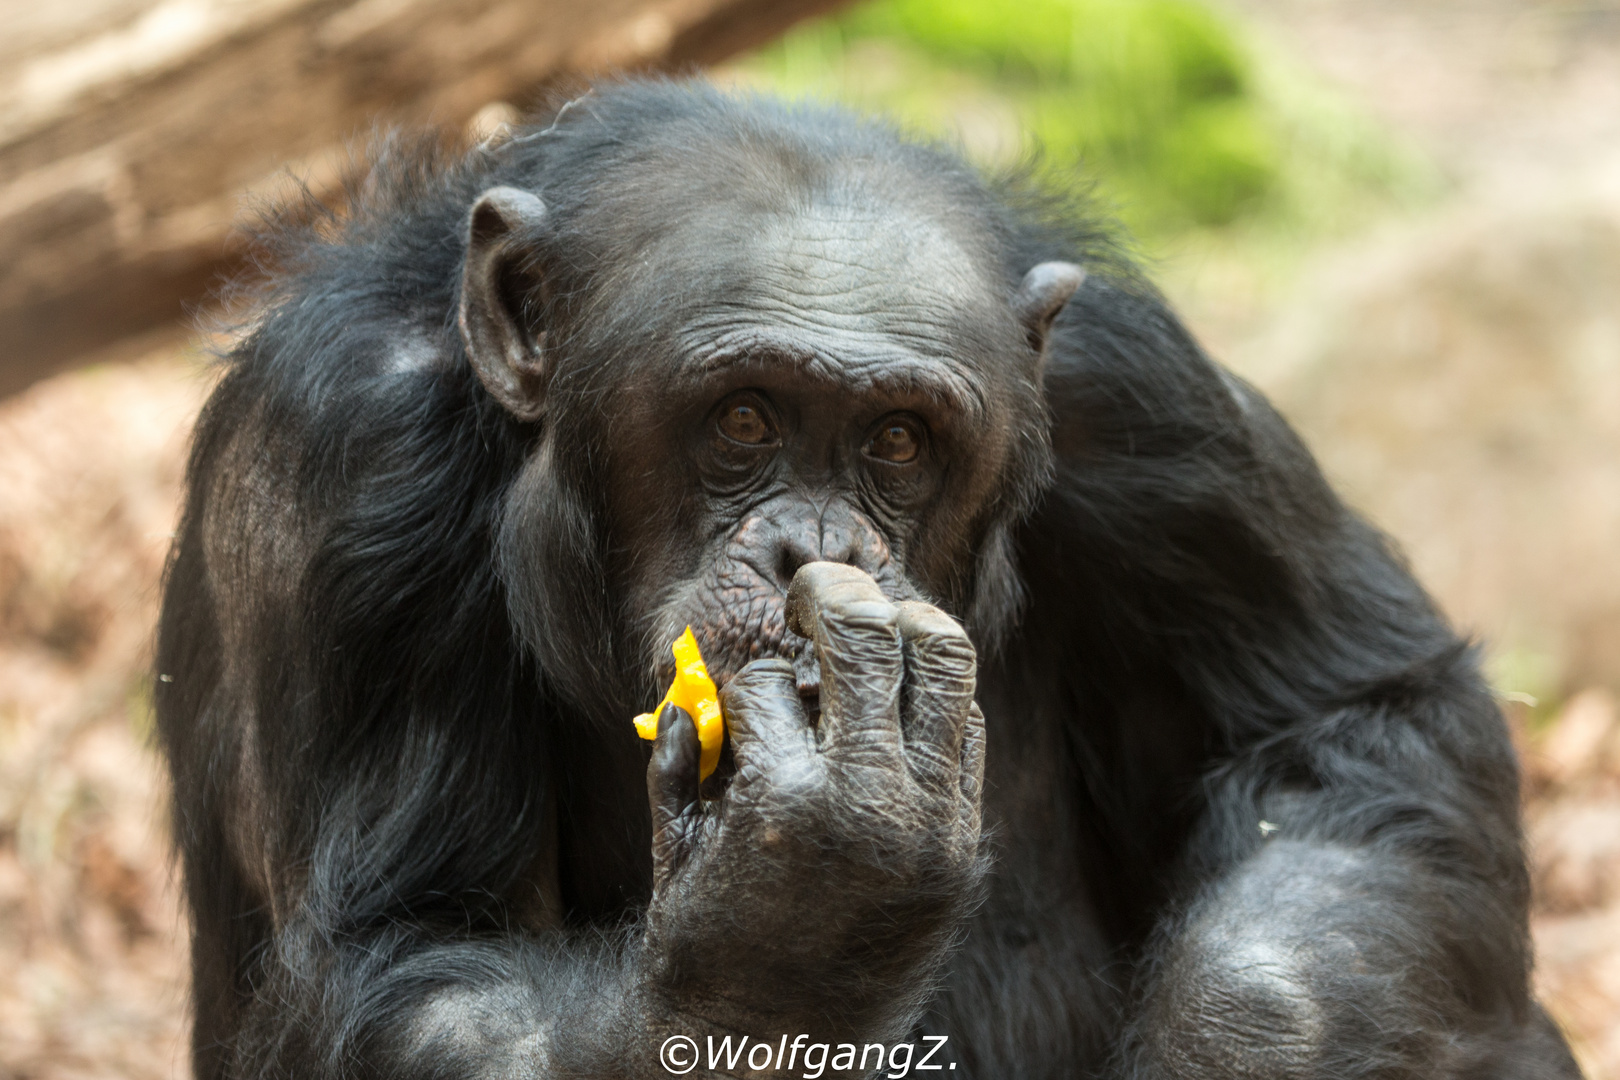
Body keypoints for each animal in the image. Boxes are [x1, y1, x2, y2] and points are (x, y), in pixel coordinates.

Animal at [154, 82, 1581, 1080]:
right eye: (740, 418)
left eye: (898, 440)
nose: (817, 553)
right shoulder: (341, 457)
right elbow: (411, 956)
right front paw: (797, 916)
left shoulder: (1142, 391)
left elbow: (1342, 723)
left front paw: (1236, 1039)